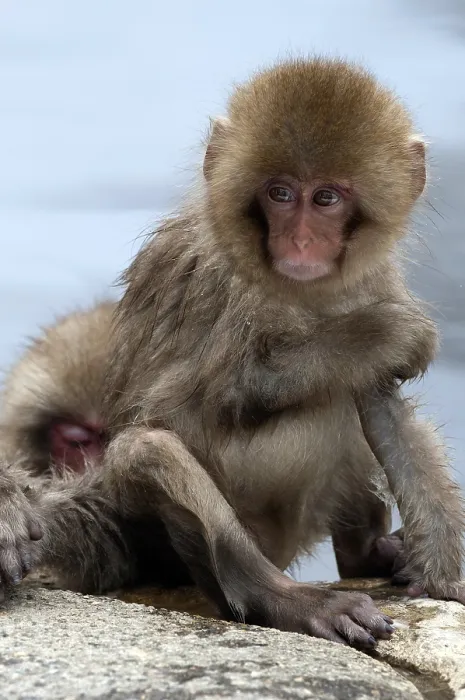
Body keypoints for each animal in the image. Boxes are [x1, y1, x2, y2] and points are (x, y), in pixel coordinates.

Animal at [0, 57, 463, 648]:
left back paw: (367, 553)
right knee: (151, 450)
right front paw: (384, 334)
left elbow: (384, 405)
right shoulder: (220, 282)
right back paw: (282, 598)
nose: (300, 241)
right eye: (280, 194)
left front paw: (447, 575)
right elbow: (188, 405)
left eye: (327, 198)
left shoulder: (372, 278)